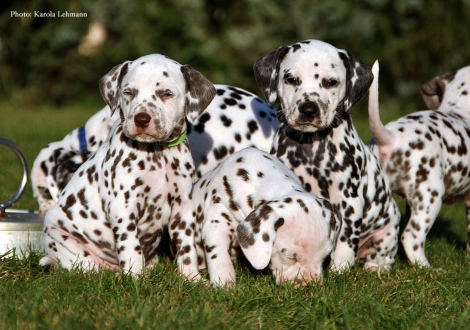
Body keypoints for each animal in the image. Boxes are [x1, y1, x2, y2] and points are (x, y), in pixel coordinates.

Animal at [40, 54, 217, 278]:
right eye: (128, 92)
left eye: (167, 94)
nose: (141, 119)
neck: (157, 154)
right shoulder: (123, 207)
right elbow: (131, 248)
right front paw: (135, 279)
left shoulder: (183, 208)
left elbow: (186, 248)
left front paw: (191, 278)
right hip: (61, 236)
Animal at [191, 148, 342, 288]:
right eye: (290, 256)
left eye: (326, 255)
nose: (310, 286)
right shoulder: (218, 221)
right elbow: (219, 255)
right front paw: (224, 282)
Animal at [253, 38, 400, 272]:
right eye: (290, 79)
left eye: (331, 82)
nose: (308, 109)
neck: (311, 149)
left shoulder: (349, 201)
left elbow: (345, 241)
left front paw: (339, 270)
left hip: (386, 234)